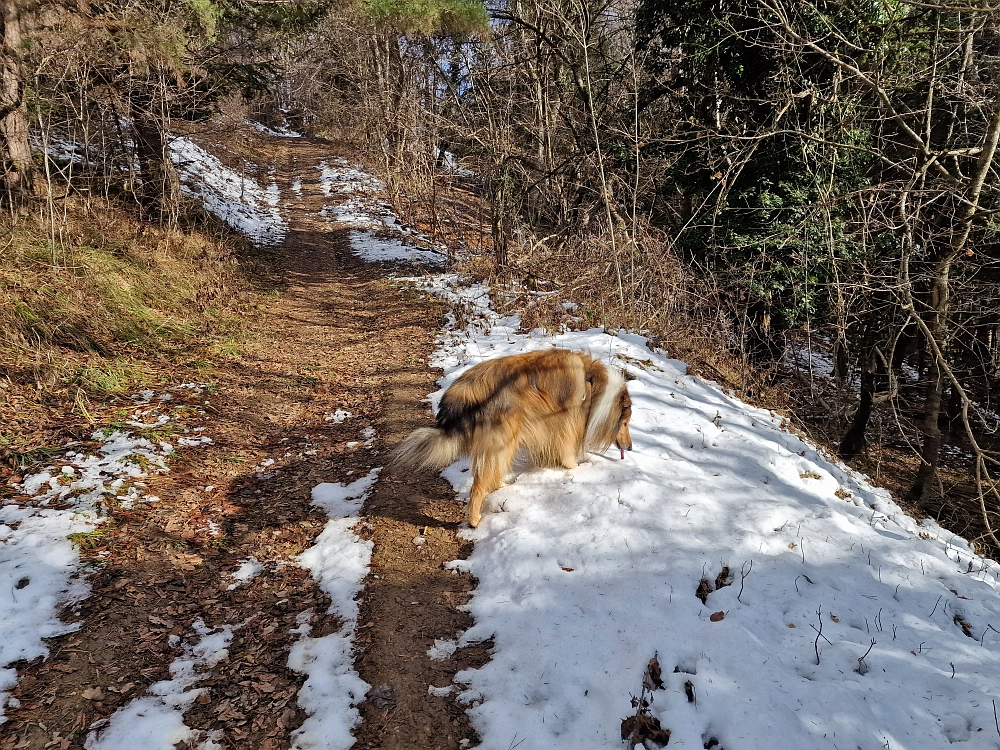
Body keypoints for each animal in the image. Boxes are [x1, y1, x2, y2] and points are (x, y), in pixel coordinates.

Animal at [392, 348, 632, 528]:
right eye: (626, 423)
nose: (630, 448)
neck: (593, 384)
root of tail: (465, 392)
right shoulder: (567, 423)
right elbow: (567, 452)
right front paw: (576, 467)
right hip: (505, 438)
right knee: (479, 485)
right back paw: (475, 520)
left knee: (492, 472)